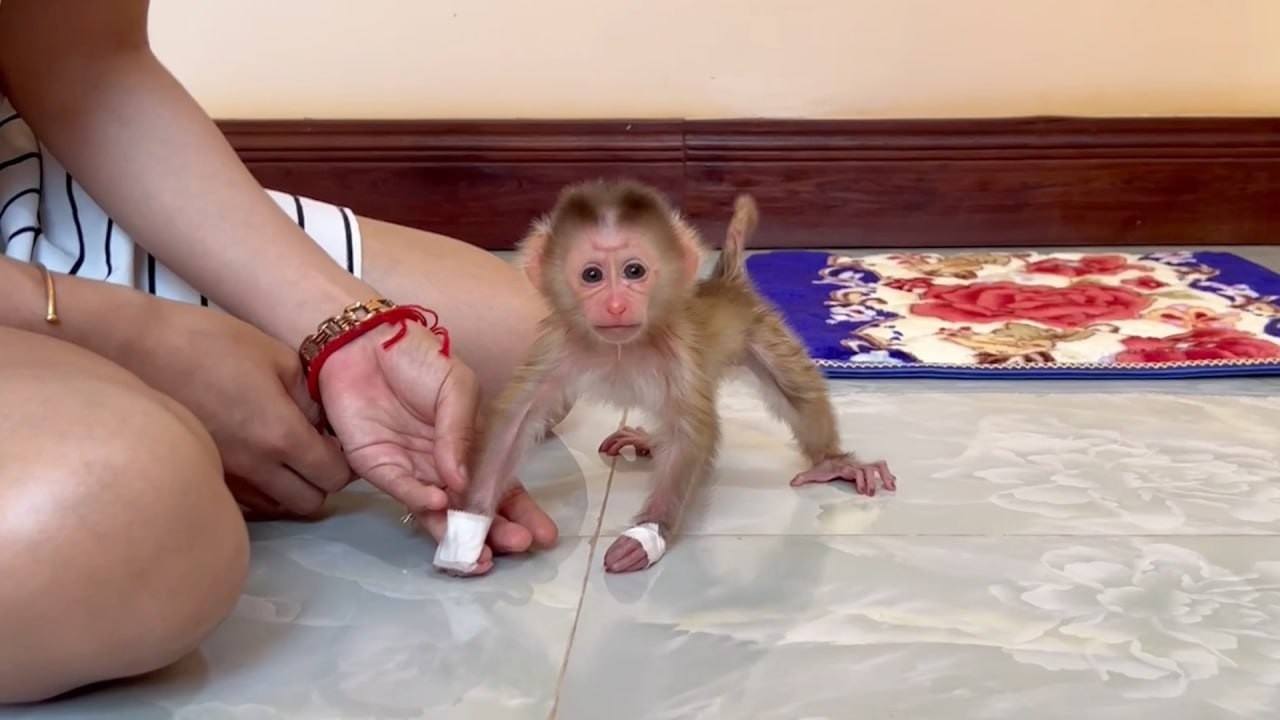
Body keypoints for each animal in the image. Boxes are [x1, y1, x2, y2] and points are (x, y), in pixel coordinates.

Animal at [431, 179, 896, 576]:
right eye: (592, 275)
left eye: (634, 271)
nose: (616, 305)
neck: (620, 348)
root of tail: (725, 284)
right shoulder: (556, 345)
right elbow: (516, 421)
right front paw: (468, 530)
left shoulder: (676, 353)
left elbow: (692, 433)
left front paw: (646, 536)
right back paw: (648, 441)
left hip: (760, 330)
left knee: (794, 390)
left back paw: (833, 462)